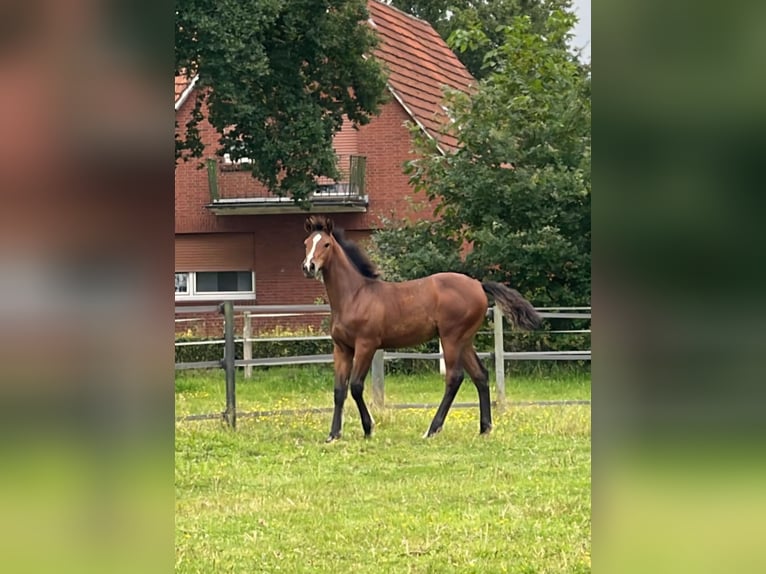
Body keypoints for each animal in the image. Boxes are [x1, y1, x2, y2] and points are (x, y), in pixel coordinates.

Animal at [304, 214, 544, 444]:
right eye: (306, 243)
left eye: (326, 244)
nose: (308, 267)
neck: (355, 295)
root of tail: (478, 284)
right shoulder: (342, 348)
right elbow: (339, 390)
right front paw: (333, 435)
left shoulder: (366, 345)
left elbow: (355, 386)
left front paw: (368, 428)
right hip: (464, 341)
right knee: (481, 376)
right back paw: (484, 429)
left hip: (451, 338)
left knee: (454, 378)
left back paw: (432, 430)